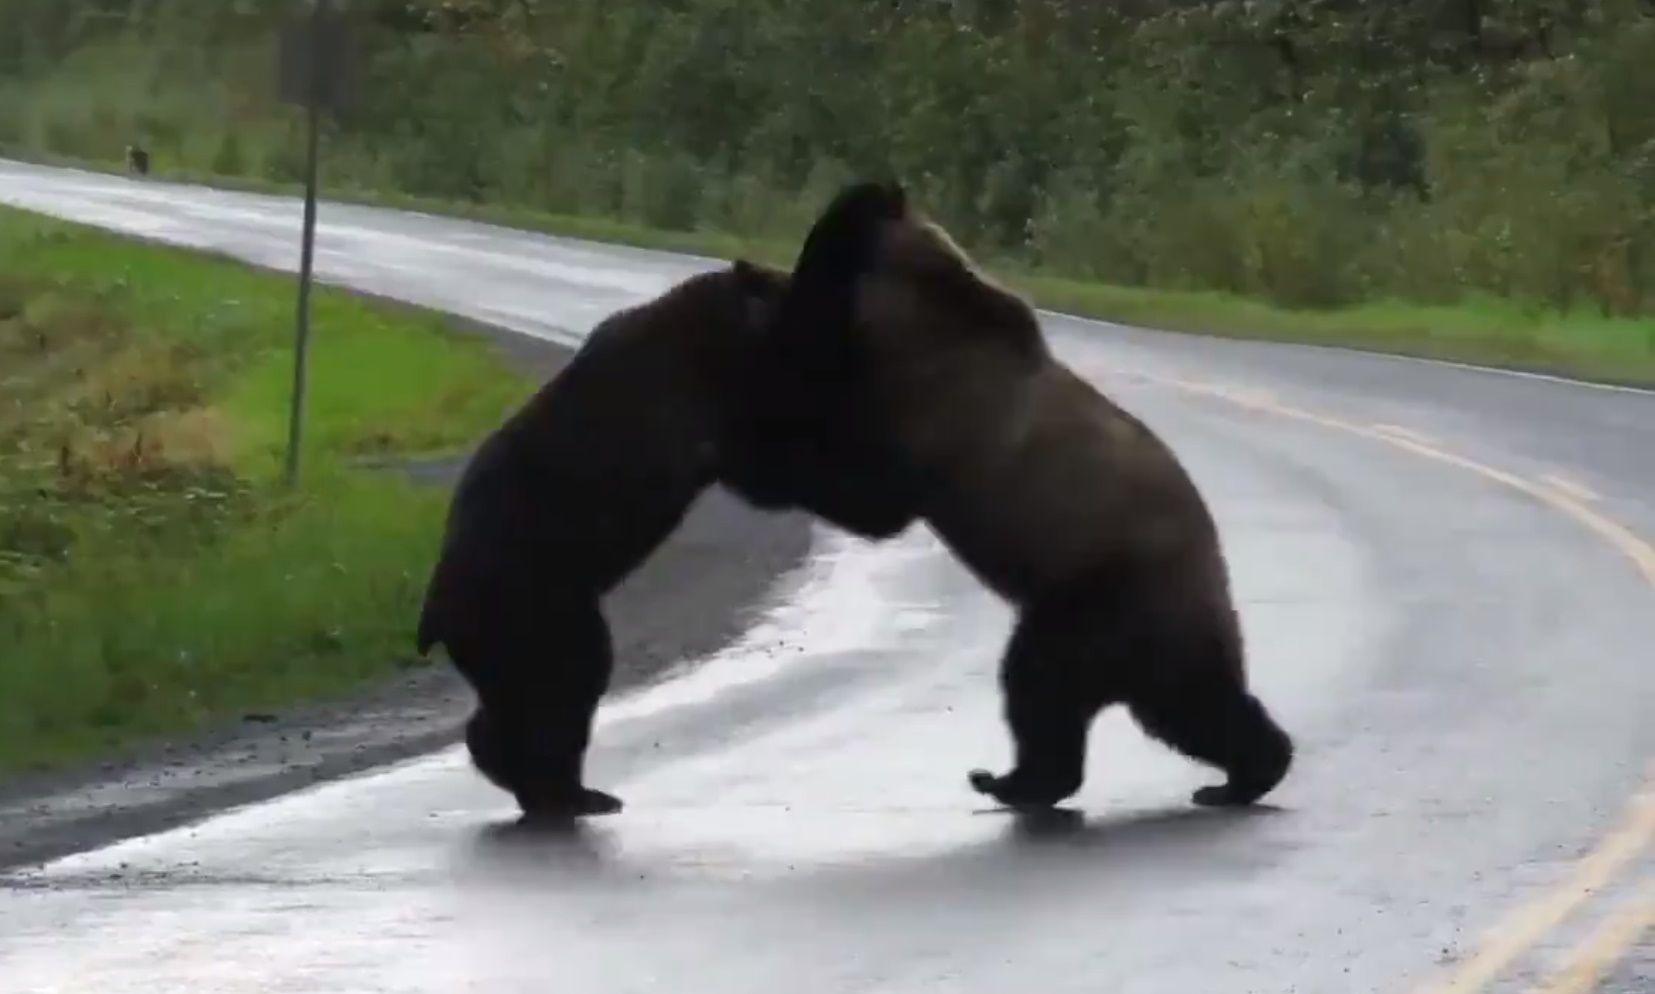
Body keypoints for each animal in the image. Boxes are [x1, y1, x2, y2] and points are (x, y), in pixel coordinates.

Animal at [417, 259, 920, 817]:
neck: (725, 338)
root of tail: (435, 613)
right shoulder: (695, 406)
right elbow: (774, 468)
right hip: (534, 602)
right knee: (566, 682)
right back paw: (570, 793)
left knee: (518, 699)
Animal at [757, 181, 1290, 810]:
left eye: (813, 253)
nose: (782, 280)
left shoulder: (932, 412)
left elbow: (872, 497)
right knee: (1149, 703)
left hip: (1107, 598)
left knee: (1076, 686)